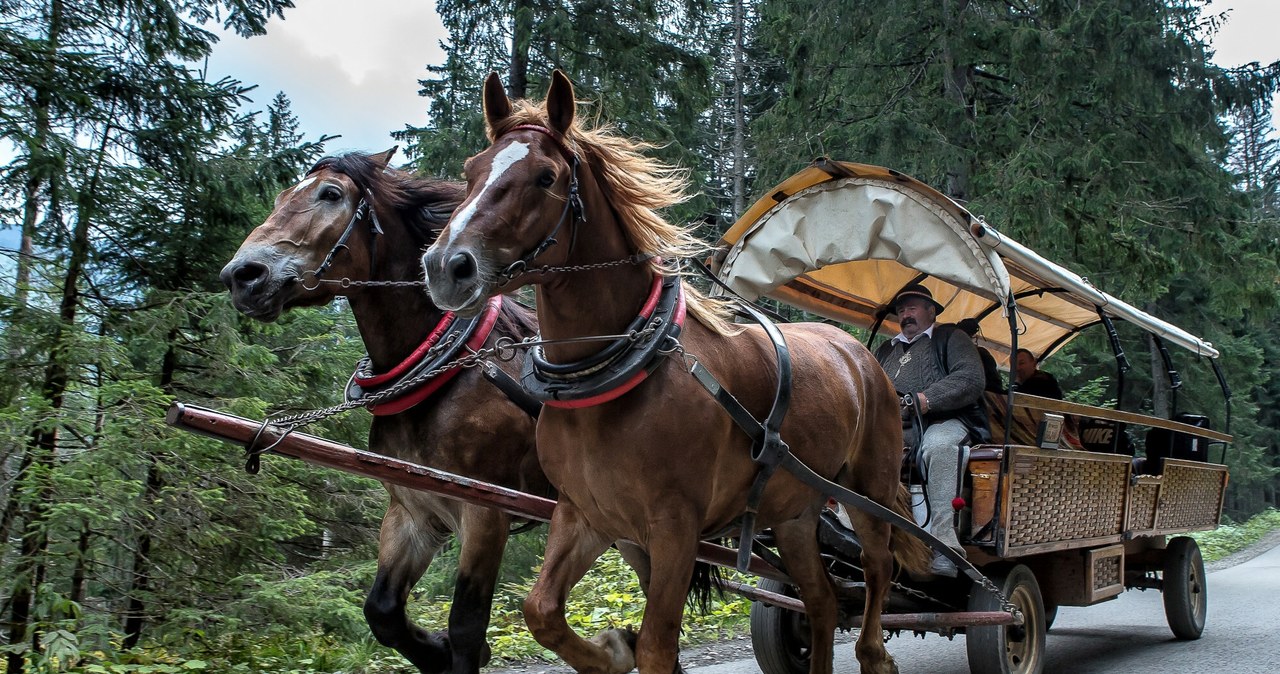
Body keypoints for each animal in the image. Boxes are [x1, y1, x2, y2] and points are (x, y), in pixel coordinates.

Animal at [220, 148, 550, 674]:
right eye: (279, 196)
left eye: (330, 194)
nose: (241, 276)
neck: (447, 371)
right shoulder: (413, 510)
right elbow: (382, 611)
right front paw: (435, 650)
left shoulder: (486, 513)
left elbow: (466, 625)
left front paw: (460, 647)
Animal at [419, 73, 931, 674]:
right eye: (472, 170)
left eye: (545, 177)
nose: (446, 266)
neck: (615, 384)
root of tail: (859, 353)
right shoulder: (587, 516)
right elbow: (541, 611)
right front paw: (610, 651)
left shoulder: (675, 529)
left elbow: (658, 646)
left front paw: (623, 647)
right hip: (796, 513)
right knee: (822, 601)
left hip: (866, 489)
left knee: (878, 568)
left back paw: (876, 652)